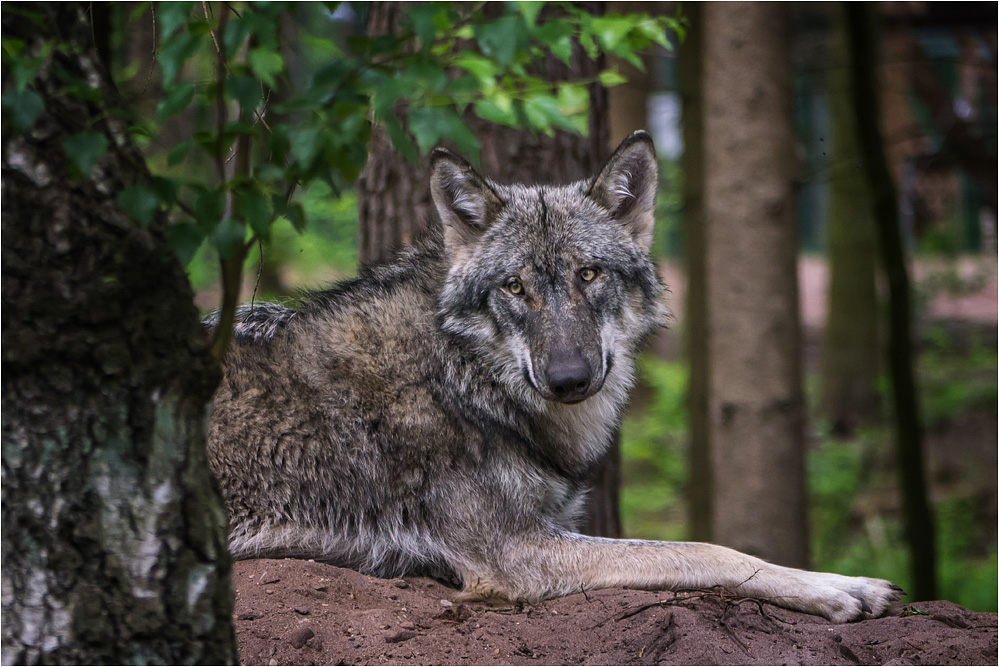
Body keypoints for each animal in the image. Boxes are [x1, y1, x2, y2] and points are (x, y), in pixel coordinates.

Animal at [207, 132, 904, 628]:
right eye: (516, 287)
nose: (570, 379)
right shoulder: (517, 556)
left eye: (589, 274)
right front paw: (838, 587)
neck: (464, 377)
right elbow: (706, 551)